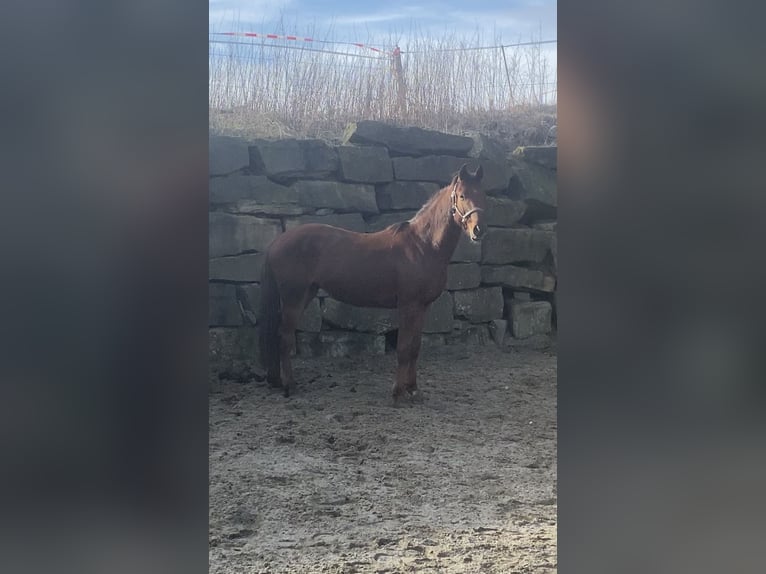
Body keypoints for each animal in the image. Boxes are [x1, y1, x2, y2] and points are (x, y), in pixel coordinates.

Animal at [258, 164, 486, 402]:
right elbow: (403, 348)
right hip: (293, 298)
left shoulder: (423, 307)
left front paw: (413, 389)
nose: (478, 230)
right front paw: (398, 392)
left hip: (306, 293)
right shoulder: (408, 305)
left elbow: (415, 348)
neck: (423, 245)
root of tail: (277, 241)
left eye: (483, 195)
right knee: (284, 337)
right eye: (462, 195)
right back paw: (290, 385)